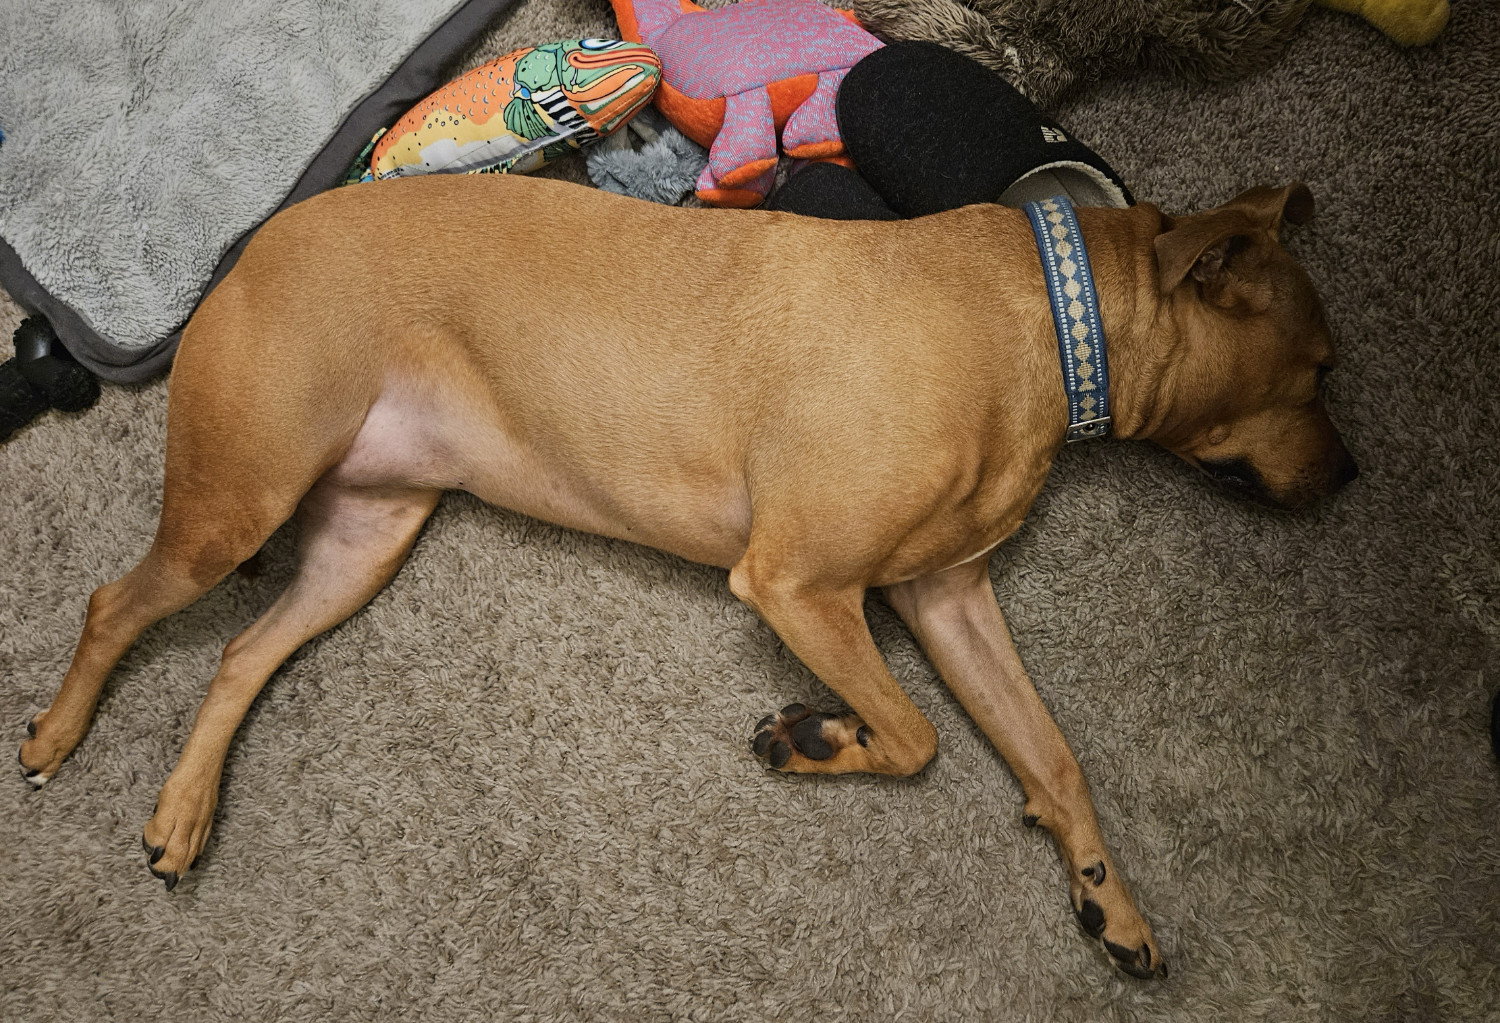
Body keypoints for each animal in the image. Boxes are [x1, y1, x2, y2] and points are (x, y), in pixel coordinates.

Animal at [20, 173, 1362, 972]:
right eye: (1320, 371)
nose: (1354, 476)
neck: (1053, 323)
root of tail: (256, 244)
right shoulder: (800, 585)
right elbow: (916, 735)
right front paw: (817, 738)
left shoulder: (948, 599)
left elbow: (1052, 753)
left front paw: (1108, 898)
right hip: (237, 504)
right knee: (111, 603)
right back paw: (57, 733)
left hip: (362, 539)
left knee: (243, 652)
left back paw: (184, 812)